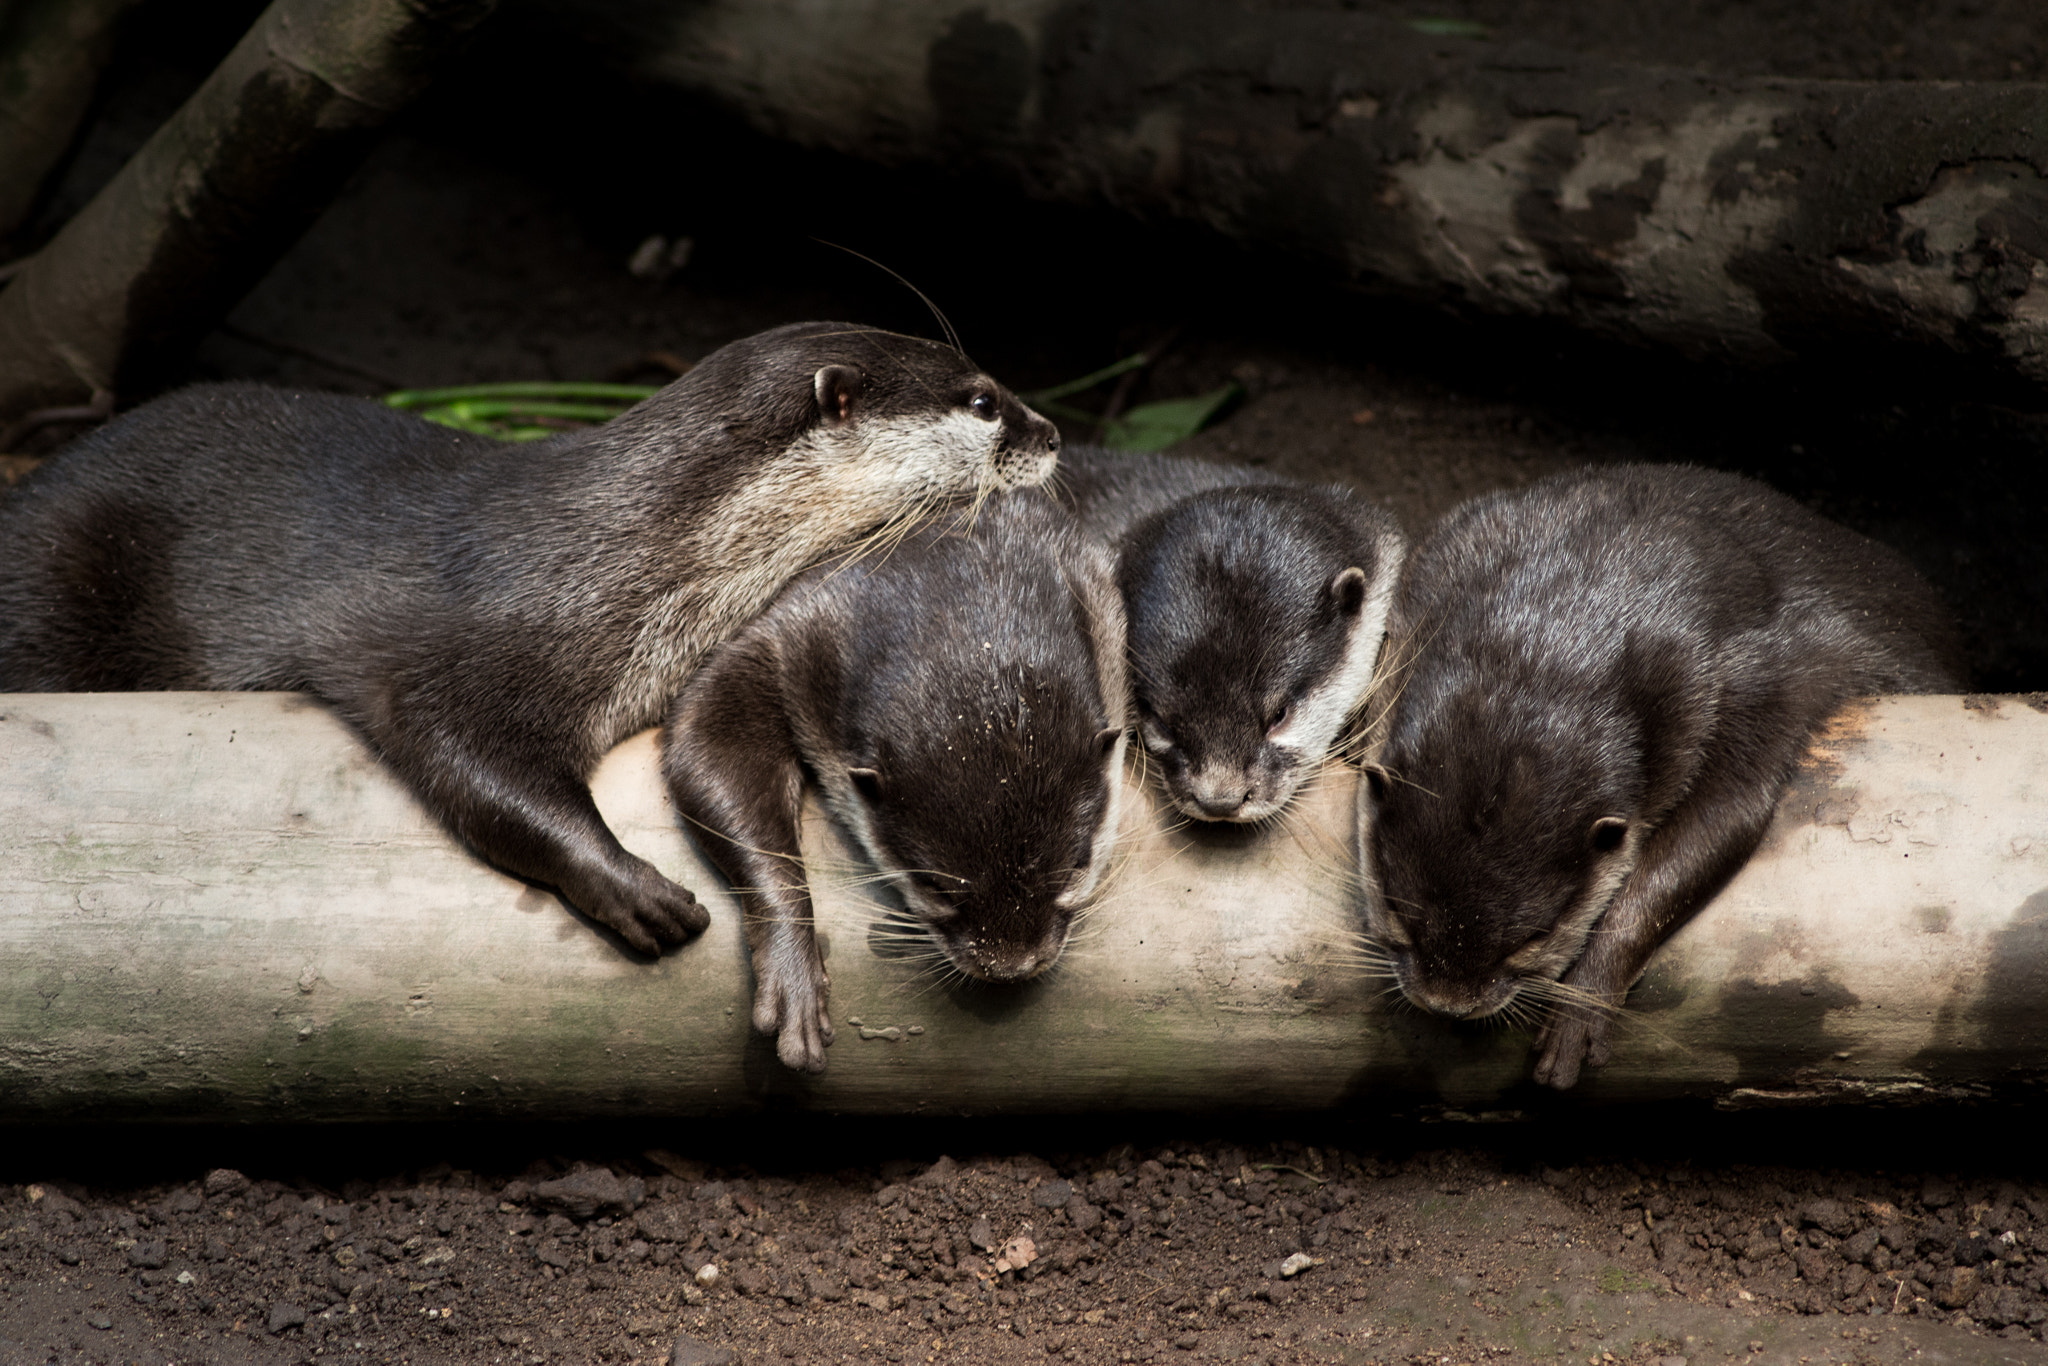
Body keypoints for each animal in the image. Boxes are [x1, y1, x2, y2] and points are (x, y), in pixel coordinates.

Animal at [0, 321, 1056, 962]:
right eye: (981, 400)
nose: (1049, 432)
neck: (633, 548)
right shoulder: (469, 643)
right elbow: (462, 757)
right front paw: (633, 888)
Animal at [663, 485, 1130, 1073]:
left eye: (1075, 867)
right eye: (933, 885)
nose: (1011, 965)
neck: (956, 597)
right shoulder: (798, 632)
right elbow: (703, 737)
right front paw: (794, 970)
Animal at [1351, 466, 1957, 1089]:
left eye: (1534, 938)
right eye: (1395, 907)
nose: (1448, 1003)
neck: (1572, 616)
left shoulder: (1750, 687)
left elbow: (1718, 828)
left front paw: (1583, 1007)